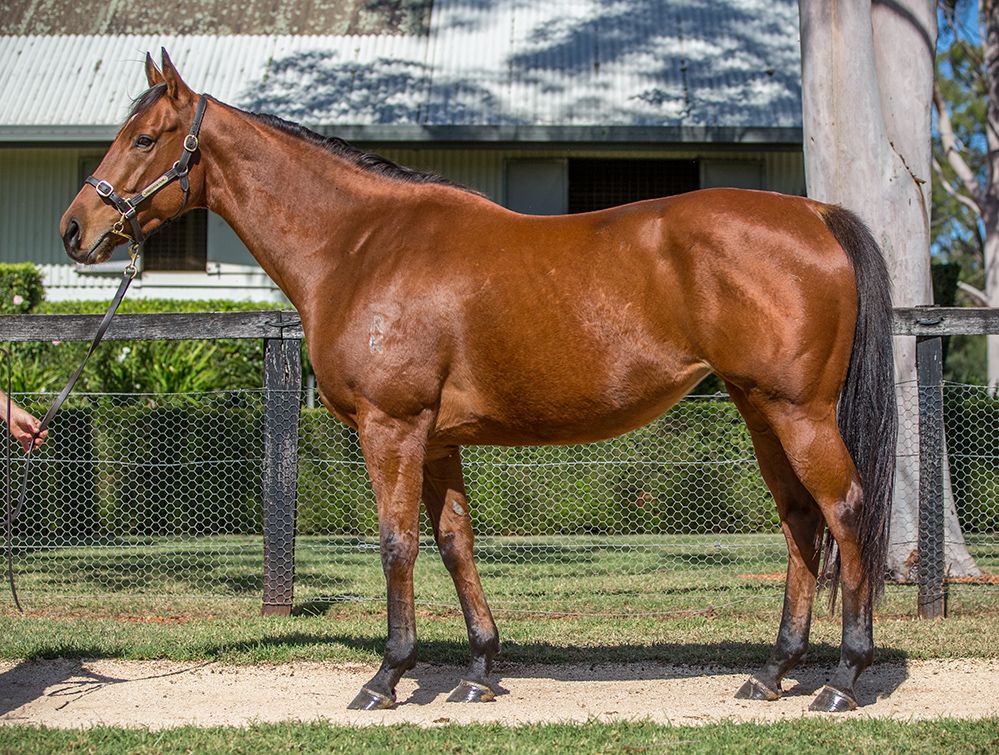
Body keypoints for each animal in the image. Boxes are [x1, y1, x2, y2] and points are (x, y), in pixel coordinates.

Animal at [58, 50, 900, 712]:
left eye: (144, 137)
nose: (74, 230)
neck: (360, 244)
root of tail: (815, 213)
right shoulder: (435, 438)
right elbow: (454, 540)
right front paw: (476, 669)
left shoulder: (391, 427)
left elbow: (397, 542)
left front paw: (387, 676)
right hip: (760, 411)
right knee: (799, 521)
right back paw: (772, 671)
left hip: (799, 412)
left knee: (845, 511)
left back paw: (842, 678)